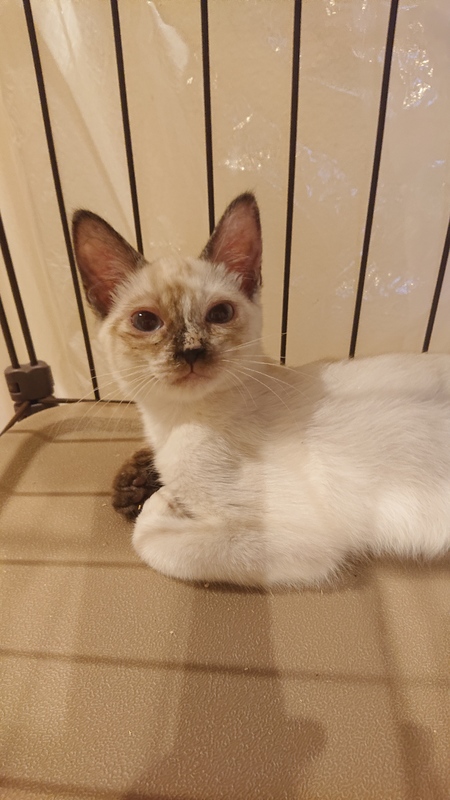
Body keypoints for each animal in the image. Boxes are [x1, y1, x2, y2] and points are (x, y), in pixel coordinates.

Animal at [72, 193, 450, 587]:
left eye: (220, 314)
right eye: (145, 321)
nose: (192, 351)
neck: (173, 422)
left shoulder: (303, 536)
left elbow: (150, 540)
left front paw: (161, 500)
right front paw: (142, 487)